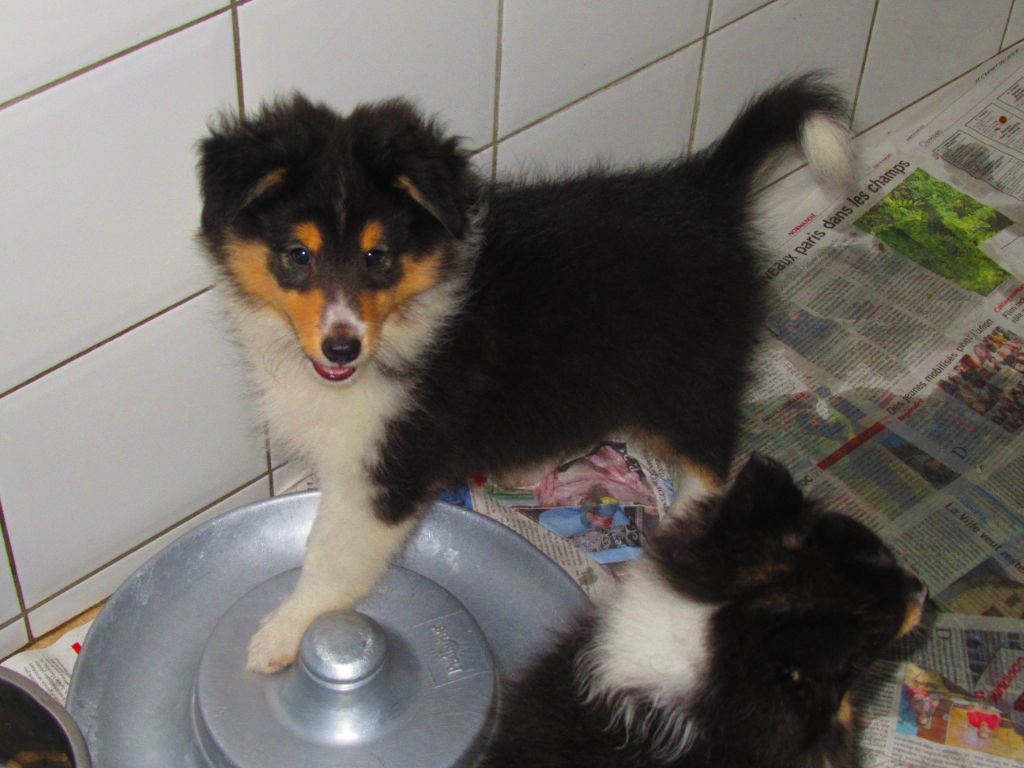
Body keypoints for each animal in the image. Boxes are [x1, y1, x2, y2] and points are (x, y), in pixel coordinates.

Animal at [197, 76, 855, 673]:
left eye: (376, 258)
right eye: (298, 255)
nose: (340, 348)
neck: (404, 318)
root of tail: (707, 188)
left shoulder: (388, 468)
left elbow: (333, 556)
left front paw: (284, 631)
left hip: (689, 374)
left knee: (710, 459)